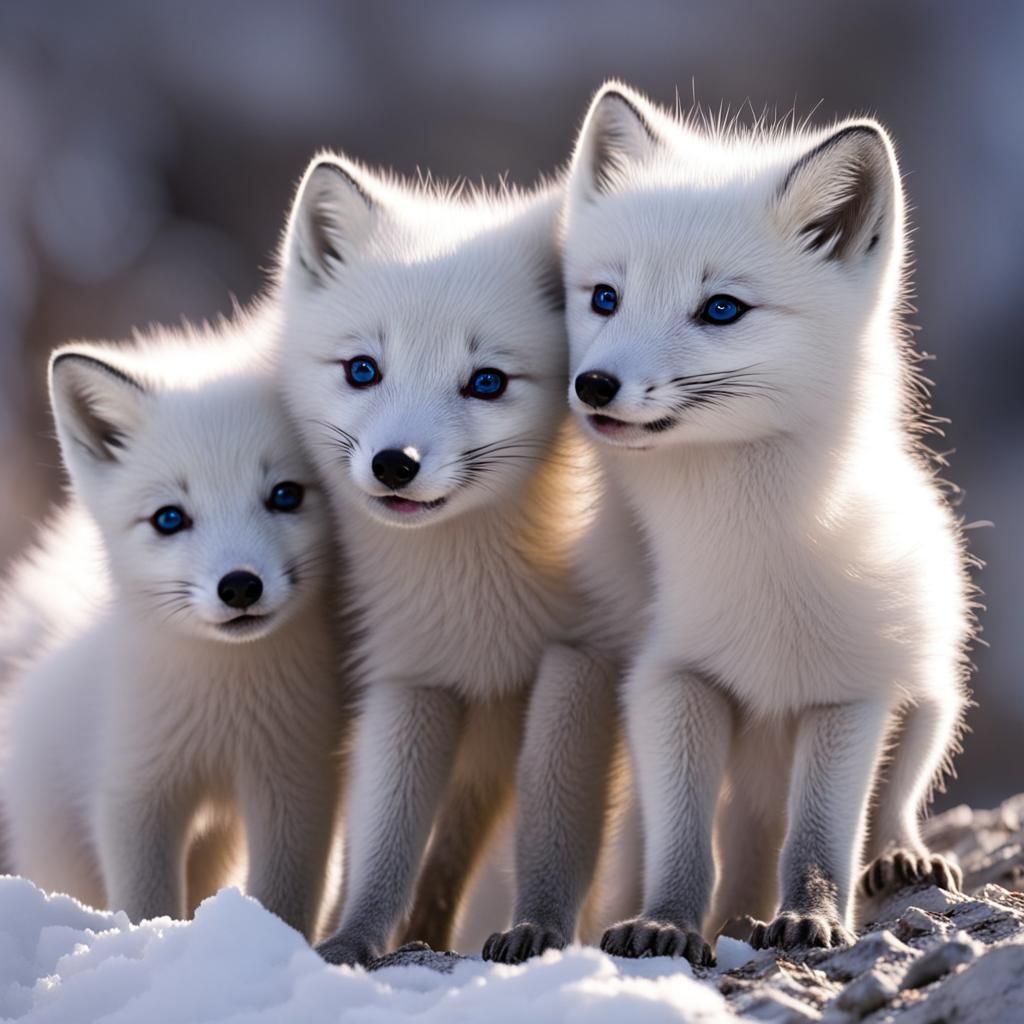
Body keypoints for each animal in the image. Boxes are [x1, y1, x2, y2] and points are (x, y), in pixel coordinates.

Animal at [0, 322, 352, 940]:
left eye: (285, 494)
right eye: (170, 518)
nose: (240, 587)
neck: (224, 708)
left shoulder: (296, 782)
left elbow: (285, 901)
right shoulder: (134, 790)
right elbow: (147, 902)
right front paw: (153, 942)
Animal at [275, 153, 646, 965]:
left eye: (486, 382)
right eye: (362, 370)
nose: (394, 464)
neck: (479, 596)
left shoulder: (581, 659)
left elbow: (556, 825)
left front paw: (539, 928)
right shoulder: (411, 673)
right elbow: (386, 842)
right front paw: (352, 939)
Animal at [560, 82, 974, 963]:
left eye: (721, 308)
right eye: (605, 297)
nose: (594, 384)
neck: (756, 557)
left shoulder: (849, 694)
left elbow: (819, 837)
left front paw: (810, 918)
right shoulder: (672, 679)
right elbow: (686, 844)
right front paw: (666, 922)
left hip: (930, 701)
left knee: (892, 805)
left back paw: (901, 859)